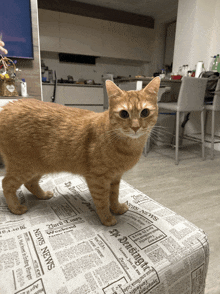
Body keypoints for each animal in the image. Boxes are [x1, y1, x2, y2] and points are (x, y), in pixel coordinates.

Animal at [0, 77, 160, 226]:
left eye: (145, 112)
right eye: (124, 114)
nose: (135, 127)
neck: (128, 147)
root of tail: (6, 107)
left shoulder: (115, 178)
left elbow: (114, 196)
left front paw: (116, 208)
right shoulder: (97, 180)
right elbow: (102, 201)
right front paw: (106, 218)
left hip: (39, 166)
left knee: (30, 183)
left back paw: (43, 195)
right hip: (24, 167)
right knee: (6, 183)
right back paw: (15, 208)